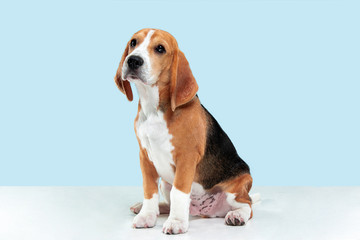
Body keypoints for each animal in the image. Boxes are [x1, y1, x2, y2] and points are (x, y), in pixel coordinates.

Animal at [114, 28, 255, 234]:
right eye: (133, 42)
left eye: (160, 48)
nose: (133, 60)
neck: (154, 109)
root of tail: (207, 211)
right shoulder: (145, 157)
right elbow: (149, 190)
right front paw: (147, 215)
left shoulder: (186, 158)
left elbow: (179, 192)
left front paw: (176, 222)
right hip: (165, 182)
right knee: (168, 201)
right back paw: (150, 208)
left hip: (237, 186)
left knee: (248, 204)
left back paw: (237, 215)